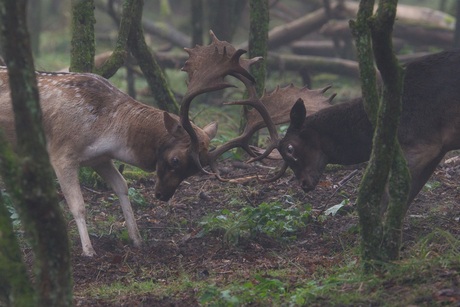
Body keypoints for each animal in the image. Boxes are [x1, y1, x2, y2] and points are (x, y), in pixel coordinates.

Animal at [0, 31, 334, 258]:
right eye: (174, 160)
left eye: (192, 172)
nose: (162, 195)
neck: (105, 128)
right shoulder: (62, 153)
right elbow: (78, 204)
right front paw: (88, 250)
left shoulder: (99, 158)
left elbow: (122, 187)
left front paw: (136, 239)